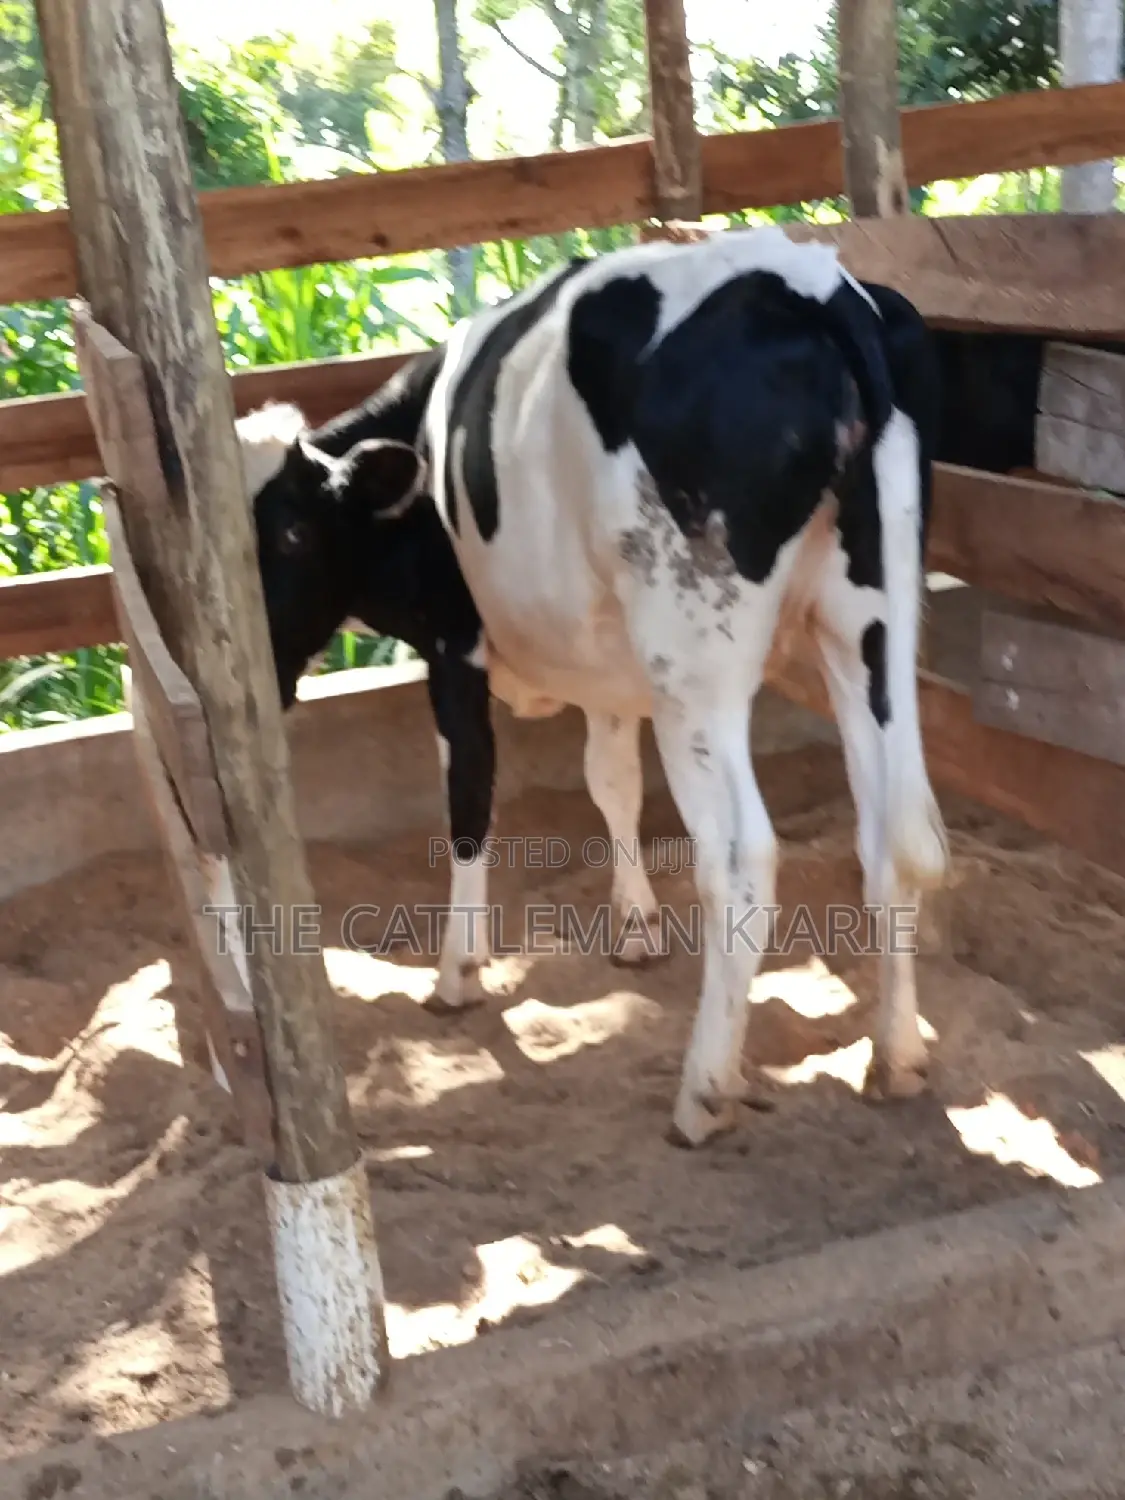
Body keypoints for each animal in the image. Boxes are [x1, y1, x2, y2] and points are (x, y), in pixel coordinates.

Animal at [237, 224, 950, 1148]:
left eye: (289, 532)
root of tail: (813, 285)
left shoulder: (454, 647)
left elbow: (468, 801)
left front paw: (458, 970)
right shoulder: (606, 667)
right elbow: (610, 783)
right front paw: (636, 924)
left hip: (696, 659)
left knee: (742, 856)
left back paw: (703, 1090)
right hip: (868, 620)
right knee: (892, 835)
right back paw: (894, 1056)